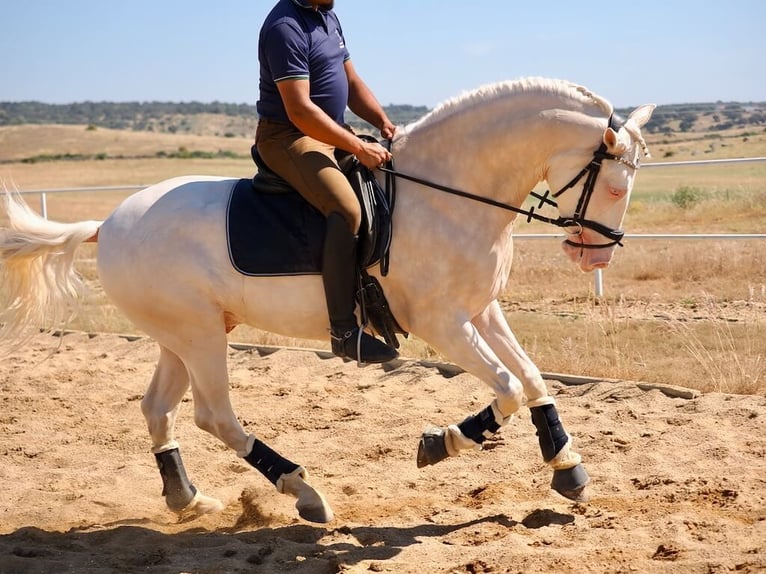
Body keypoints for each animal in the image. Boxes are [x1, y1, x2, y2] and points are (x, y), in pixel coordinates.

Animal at [0, 77, 655, 524]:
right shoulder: (442, 322)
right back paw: (304, 491)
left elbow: (533, 377)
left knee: (158, 408)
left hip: (183, 334)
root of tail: (107, 225)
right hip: (198, 336)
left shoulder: (479, 310)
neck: (445, 195)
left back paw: (189, 498)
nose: (597, 257)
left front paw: (567, 468)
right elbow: (509, 388)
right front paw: (441, 442)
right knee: (214, 416)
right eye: (614, 186)